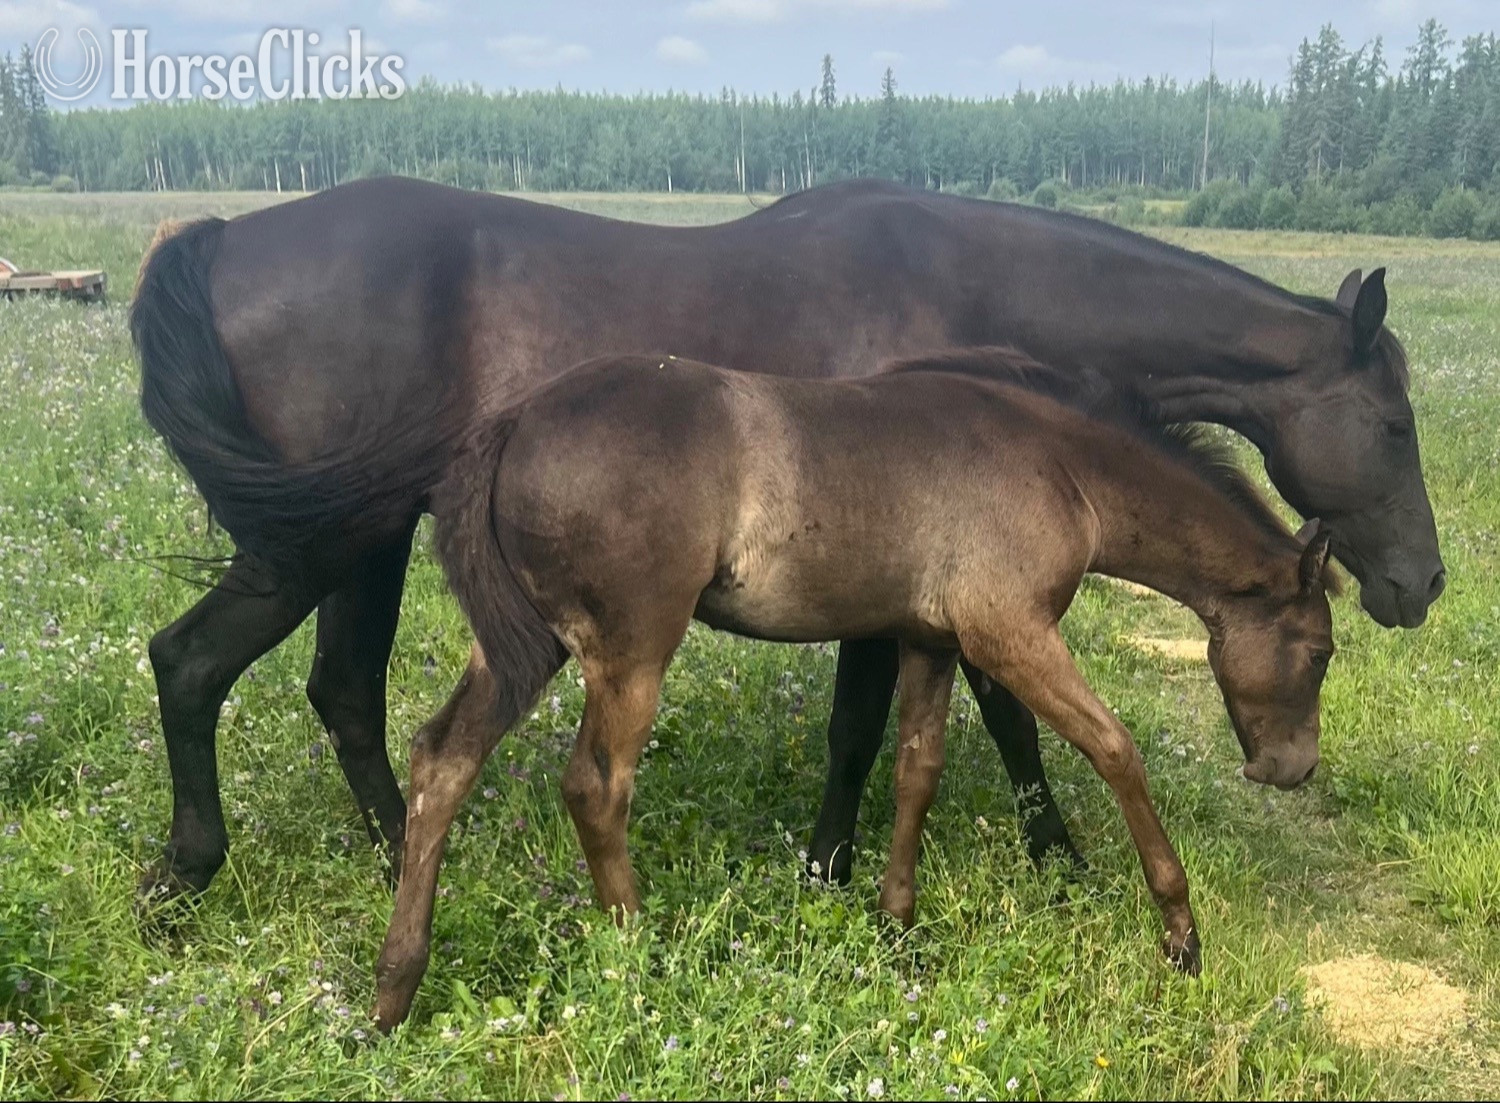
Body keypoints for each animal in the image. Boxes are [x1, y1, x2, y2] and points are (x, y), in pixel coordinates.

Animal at [129, 177, 1434, 904]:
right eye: (1394, 421)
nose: (1423, 581)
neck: (979, 289)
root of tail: (226, 236)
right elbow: (902, 724)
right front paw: (878, 865)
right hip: (315, 544)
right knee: (191, 662)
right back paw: (192, 868)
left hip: (366, 546)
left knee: (340, 689)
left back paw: (393, 849)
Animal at [370, 348, 1337, 1030]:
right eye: (1324, 649)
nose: (1292, 768)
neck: (1060, 466)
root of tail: (514, 420)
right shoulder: (1009, 631)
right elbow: (1114, 747)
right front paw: (1181, 935)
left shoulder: (930, 638)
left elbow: (917, 767)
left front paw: (898, 924)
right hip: (630, 648)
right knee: (595, 785)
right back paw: (637, 956)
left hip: (522, 645)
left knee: (441, 759)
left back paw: (392, 992)